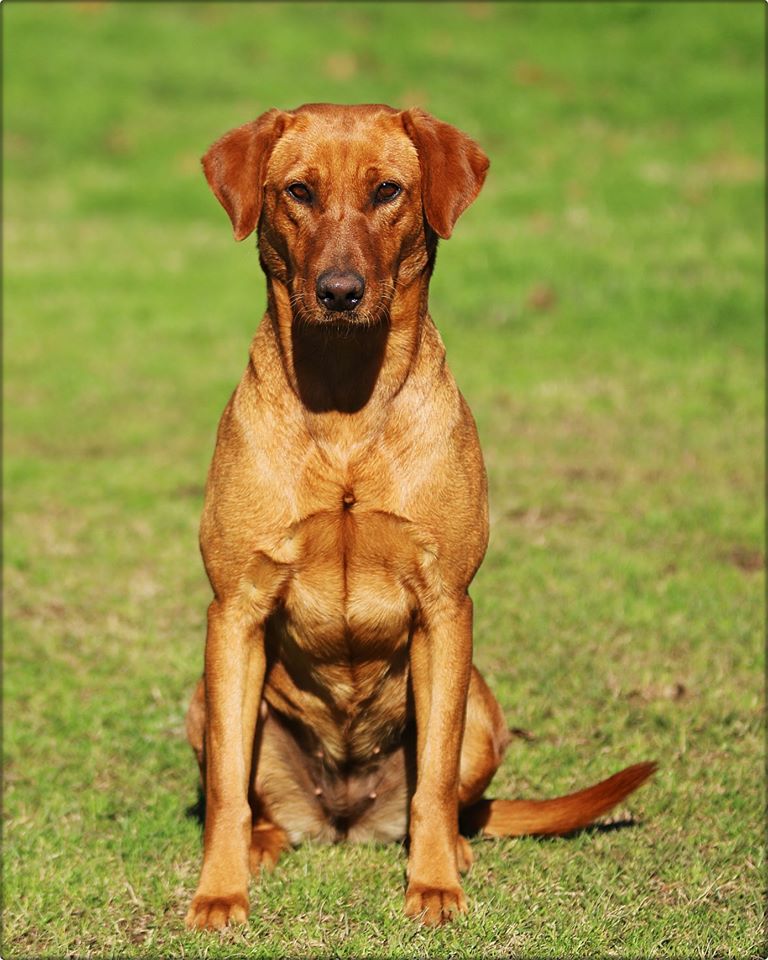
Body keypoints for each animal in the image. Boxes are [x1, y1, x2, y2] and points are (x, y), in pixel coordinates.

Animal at [184, 103, 656, 928]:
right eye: (299, 191)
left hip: (485, 713)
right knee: (249, 797)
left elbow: (432, 783)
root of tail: (345, 817)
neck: (344, 398)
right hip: (201, 701)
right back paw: (265, 843)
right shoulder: (234, 609)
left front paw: (433, 886)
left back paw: (454, 848)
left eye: (388, 191)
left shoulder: (445, 606)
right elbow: (224, 796)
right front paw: (220, 890)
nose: (340, 290)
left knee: (450, 799)